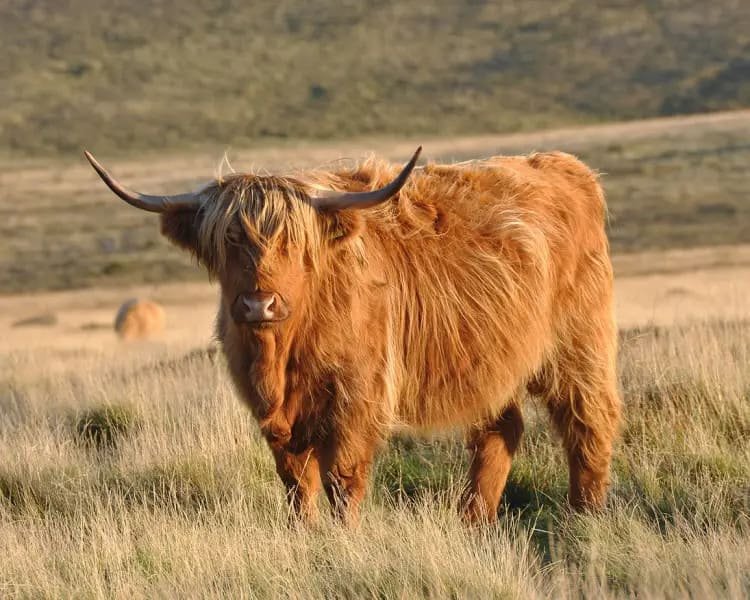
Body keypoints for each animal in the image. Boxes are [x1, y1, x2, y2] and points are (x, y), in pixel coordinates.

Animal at [85, 147, 621, 525]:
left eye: (292, 242)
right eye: (230, 238)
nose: (260, 304)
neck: (282, 356)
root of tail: (565, 167)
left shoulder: (357, 397)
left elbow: (342, 478)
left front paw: (345, 538)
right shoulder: (274, 414)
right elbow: (296, 481)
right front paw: (303, 536)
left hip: (579, 346)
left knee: (589, 422)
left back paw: (585, 516)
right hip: (491, 359)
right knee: (499, 432)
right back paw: (473, 521)